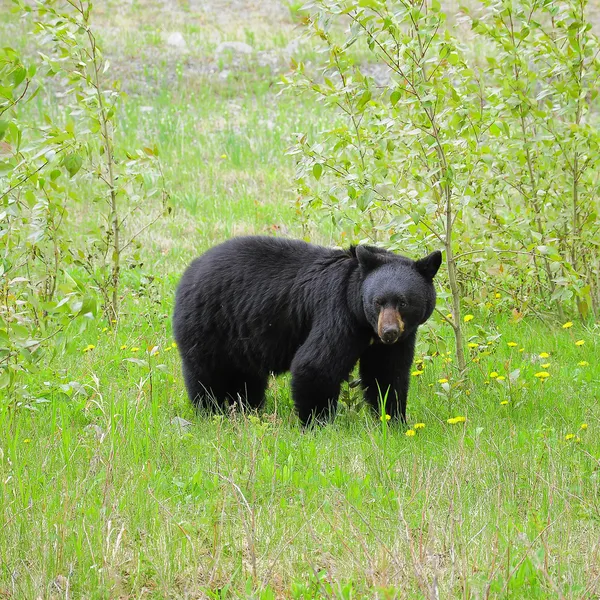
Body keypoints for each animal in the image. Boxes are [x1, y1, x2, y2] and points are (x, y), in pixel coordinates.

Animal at [171, 237, 442, 424]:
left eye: (403, 302)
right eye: (378, 302)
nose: (389, 332)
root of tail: (190, 270)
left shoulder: (395, 341)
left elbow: (387, 374)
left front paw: (394, 420)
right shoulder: (337, 313)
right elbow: (316, 364)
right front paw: (317, 423)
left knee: (247, 377)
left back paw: (248, 409)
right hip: (209, 323)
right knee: (207, 373)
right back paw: (211, 411)